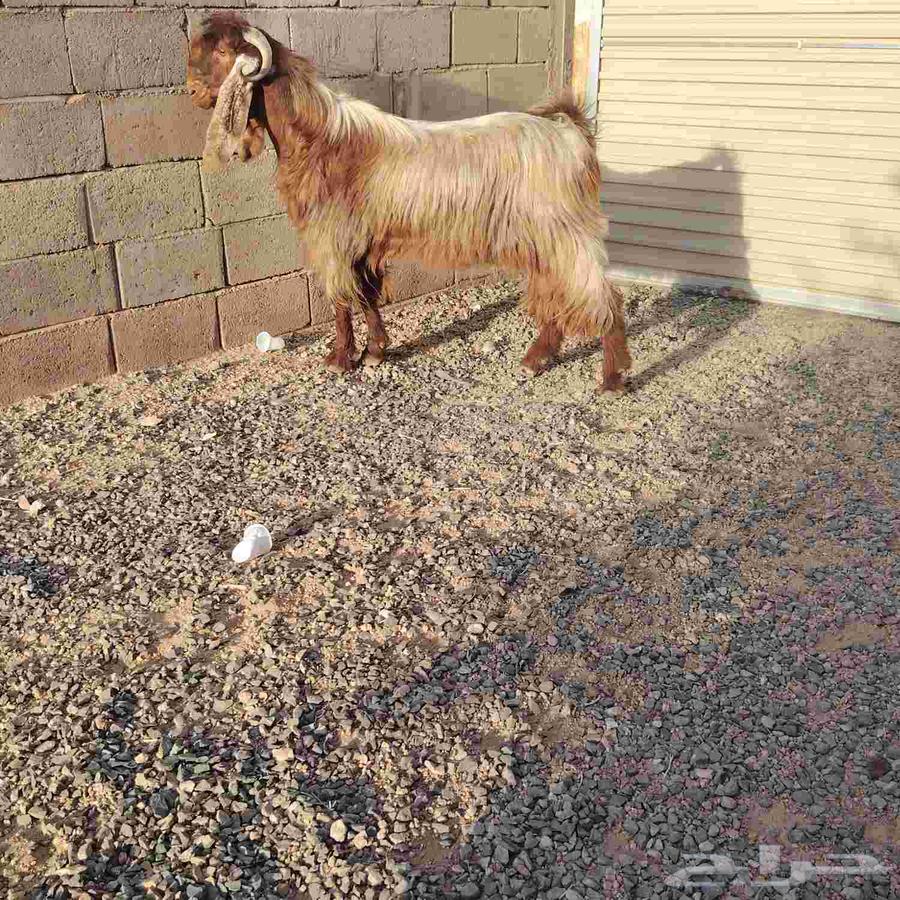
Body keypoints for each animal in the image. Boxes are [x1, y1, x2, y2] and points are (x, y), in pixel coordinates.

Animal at [187, 13, 631, 390]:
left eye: (223, 53)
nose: (192, 92)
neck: (319, 138)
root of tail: (569, 132)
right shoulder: (363, 244)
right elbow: (366, 295)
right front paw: (375, 352)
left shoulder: (333, 240)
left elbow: (341, 300)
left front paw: (340, 359)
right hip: (545, 241)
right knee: (556, 294)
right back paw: (536, 359)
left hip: (568, 234)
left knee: (603, 297)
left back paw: (612, 379)